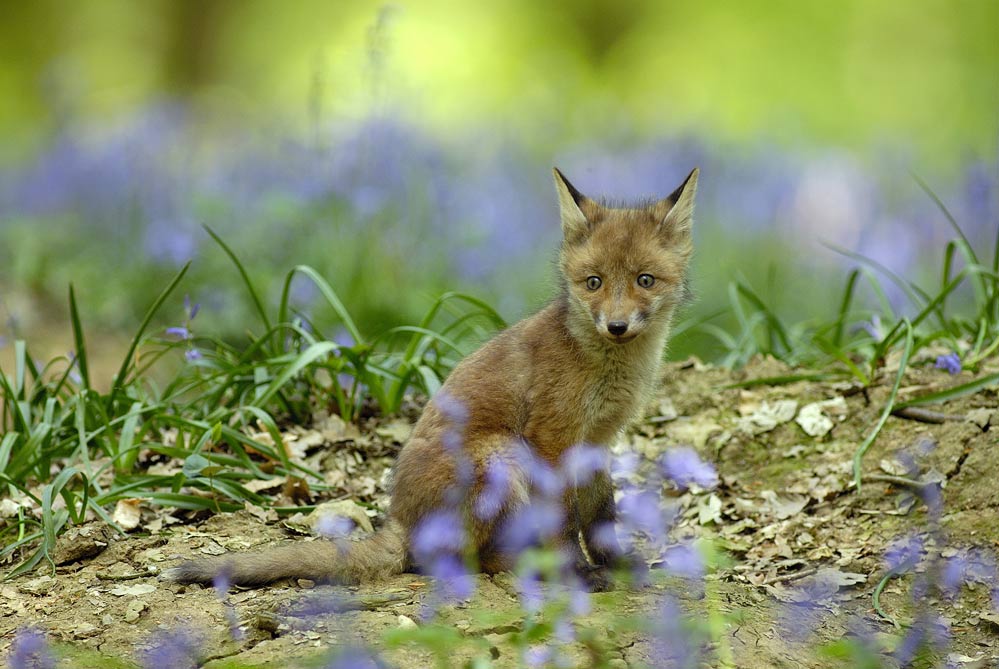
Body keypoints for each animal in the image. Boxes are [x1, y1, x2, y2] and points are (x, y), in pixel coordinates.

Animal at [168, 166, 700, 588]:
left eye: (644, 280)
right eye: (594, 283)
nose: (617, 326)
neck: (606, 366)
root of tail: (403, 525)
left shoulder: (597, 440)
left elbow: (601, 516)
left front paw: (617, 563)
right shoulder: (551, 440)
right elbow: (566, 525)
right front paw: (580, 573)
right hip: (502, 454)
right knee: (467, 560)